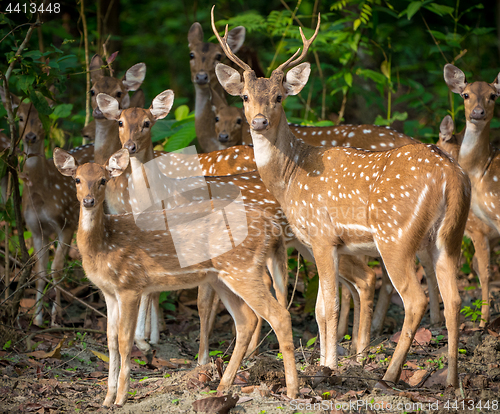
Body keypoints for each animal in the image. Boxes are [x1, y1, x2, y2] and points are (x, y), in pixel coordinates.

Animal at [54, 147, 296, 406]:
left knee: (279, 316)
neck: (103, 245)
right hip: (222, 276)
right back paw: (223, 385)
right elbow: (109, 341)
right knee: (246, 320)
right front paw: (107, 399)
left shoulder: (130, 284)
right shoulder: (109, 292)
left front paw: (120, 398)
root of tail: (272, 226)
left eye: (103, 180)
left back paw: (292, 391)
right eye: (77, 179)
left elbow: (124, 341)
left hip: (242, 268)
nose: (88, 201)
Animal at [213, 8, 470, 386]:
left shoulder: (321, 235)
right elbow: (320, 309)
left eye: (279, 97)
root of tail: (452, 177)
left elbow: (330, 307)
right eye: (245, 96)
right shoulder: (322, 243)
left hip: (395, 235)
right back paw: (451, 380)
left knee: (414, 299)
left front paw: (330, 367)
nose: (258, 121)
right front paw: (323, 363)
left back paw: (390, 374)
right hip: (448, 237)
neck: (292, 175)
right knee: (454, 300)